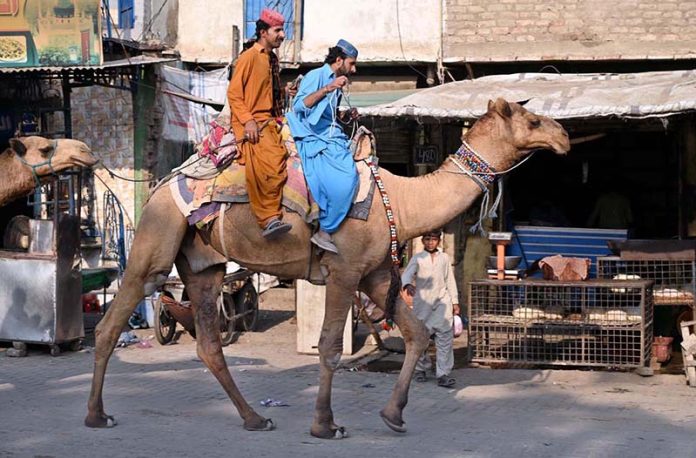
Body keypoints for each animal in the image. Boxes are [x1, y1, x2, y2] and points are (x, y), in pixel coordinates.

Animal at [85, 98, 570, 438]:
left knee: (209, 343)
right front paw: (326, 424)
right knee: (112, 321)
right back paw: (97, 415)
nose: (563, 134)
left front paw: (393, 415)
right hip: (157, 239)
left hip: (204, 266)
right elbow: (331, 348)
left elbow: (416, 334)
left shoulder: (375, 274)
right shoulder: (344, 271)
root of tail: (160, 186)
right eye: (531, 121)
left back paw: (254, 418)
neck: (403, 202)